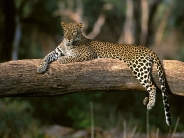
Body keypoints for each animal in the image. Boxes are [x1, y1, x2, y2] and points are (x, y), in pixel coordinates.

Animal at [36, 21, 172, 126]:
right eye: (66, 31)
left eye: (74, 31)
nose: (68, 38)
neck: (68, 44)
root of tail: (145, 48)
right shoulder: (56, 51)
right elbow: (46, 56)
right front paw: (40, 68)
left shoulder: (87, 54)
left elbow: (71, 58)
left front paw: (62, 60)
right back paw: (146, 100)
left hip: (138, 67)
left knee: (152, 86)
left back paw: (150, 104)